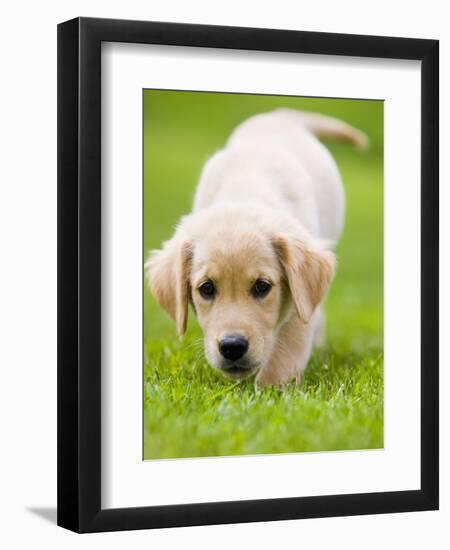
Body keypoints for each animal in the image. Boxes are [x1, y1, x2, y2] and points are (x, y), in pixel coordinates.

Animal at [146, 109, 368, 388]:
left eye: (262, 287)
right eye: (206, 288)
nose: (232, 347)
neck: (245, 191)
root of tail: (279, 114)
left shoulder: (299, 298)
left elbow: (286, 350)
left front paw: (271, 390)